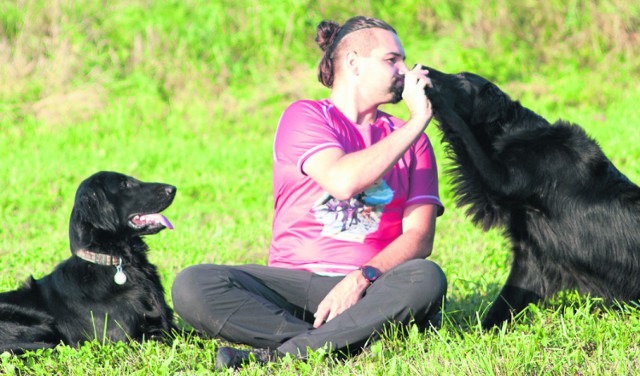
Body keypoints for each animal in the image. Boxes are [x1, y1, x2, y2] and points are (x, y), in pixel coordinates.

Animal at [424, 67, 640, 328]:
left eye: (462, 78)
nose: (422, 67)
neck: (512, 127)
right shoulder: (532, 256)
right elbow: (504, 302)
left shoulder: (504, 180)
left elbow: (462, 130)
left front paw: (435, 98)